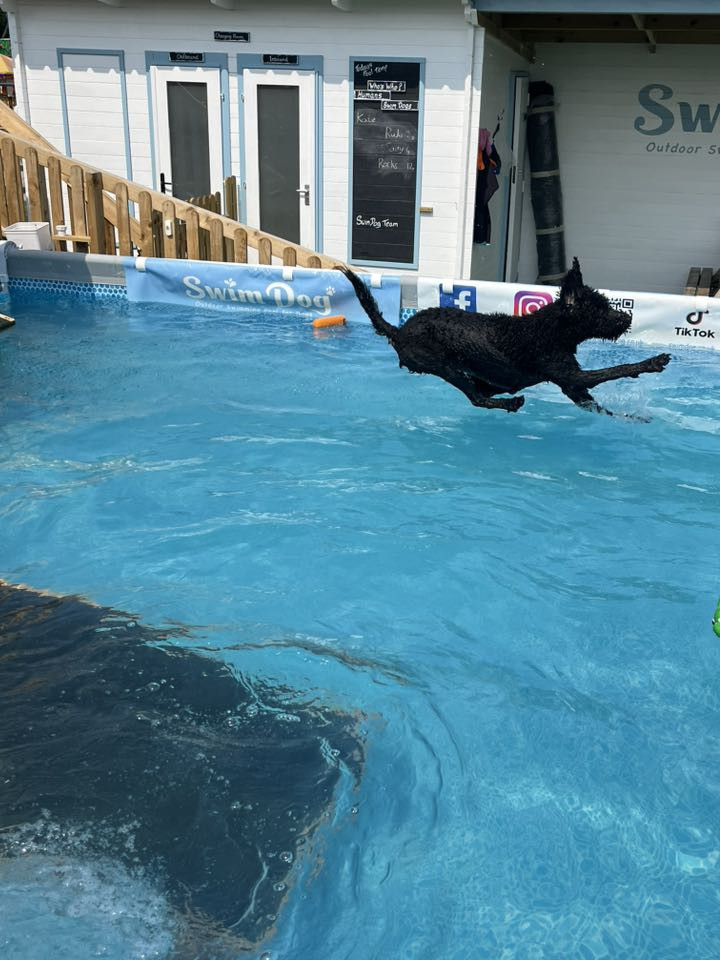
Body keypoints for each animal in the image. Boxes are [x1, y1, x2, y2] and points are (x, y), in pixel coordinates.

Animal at [337, 259, 671, 416]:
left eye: (606, 303)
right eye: (599, 310)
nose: (627, 318)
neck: (550, 330)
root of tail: (399, 330)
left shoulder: (572, 387)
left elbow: (597, 405)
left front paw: (631, 419)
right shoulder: (570, 376)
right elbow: (617, 370)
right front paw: (653, 362)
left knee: (480, 393)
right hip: (443, 366)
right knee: (476, 399)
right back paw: (509, 404)